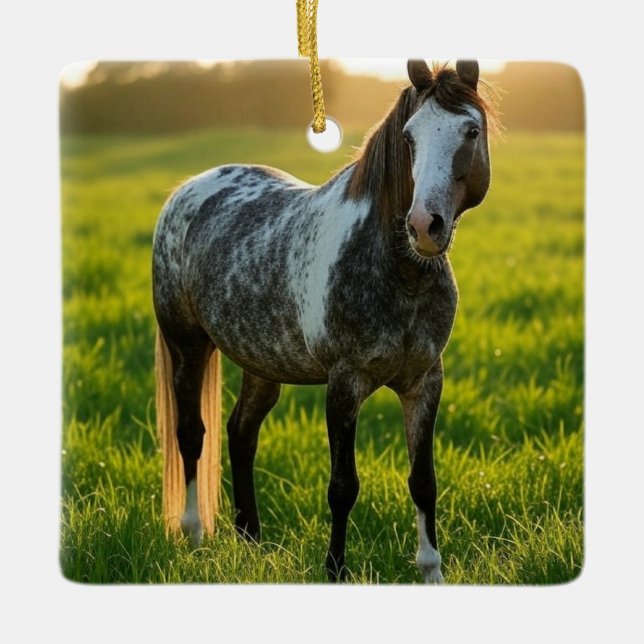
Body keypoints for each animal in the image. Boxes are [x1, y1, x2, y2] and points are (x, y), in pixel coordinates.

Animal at [152, 59, 494, 583]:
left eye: (471, 131)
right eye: (410, 137)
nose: (424, 226)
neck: (399, 271)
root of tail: (185, 192)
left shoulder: (425, 381)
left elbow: (423, 480)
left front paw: (431, 571)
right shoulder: (344, 382)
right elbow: (343, 486)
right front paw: (335, 569)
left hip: (261, 363)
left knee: (241, 432)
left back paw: (251, 539)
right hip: (186, 346)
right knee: (192, 435)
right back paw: (193, 536)